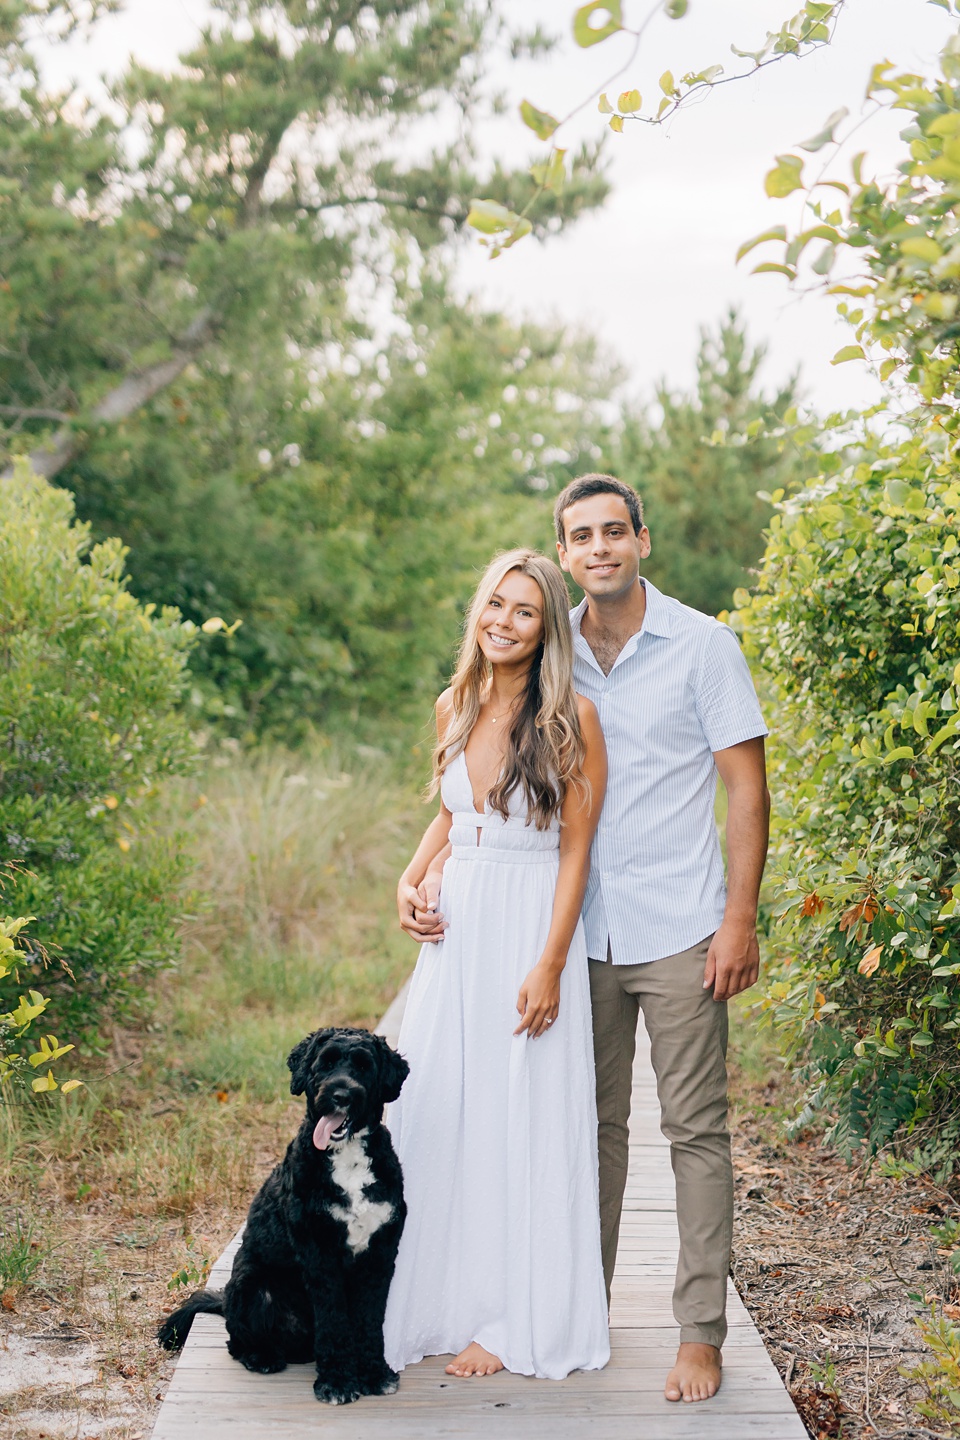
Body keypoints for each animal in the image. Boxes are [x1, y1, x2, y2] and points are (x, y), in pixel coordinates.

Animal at [156, 1025, 408, 1405]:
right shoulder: (320, 1256)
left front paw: (374, 1373)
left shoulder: (379, 1256)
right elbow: (333, 1322)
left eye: (364, 1066)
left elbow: (369, 1320)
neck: (347, 1158)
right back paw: (262, 1357)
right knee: (237, 1341)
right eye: (325, 1063)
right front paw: (337, 1382)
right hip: (252, 1285)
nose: (340, 1095)